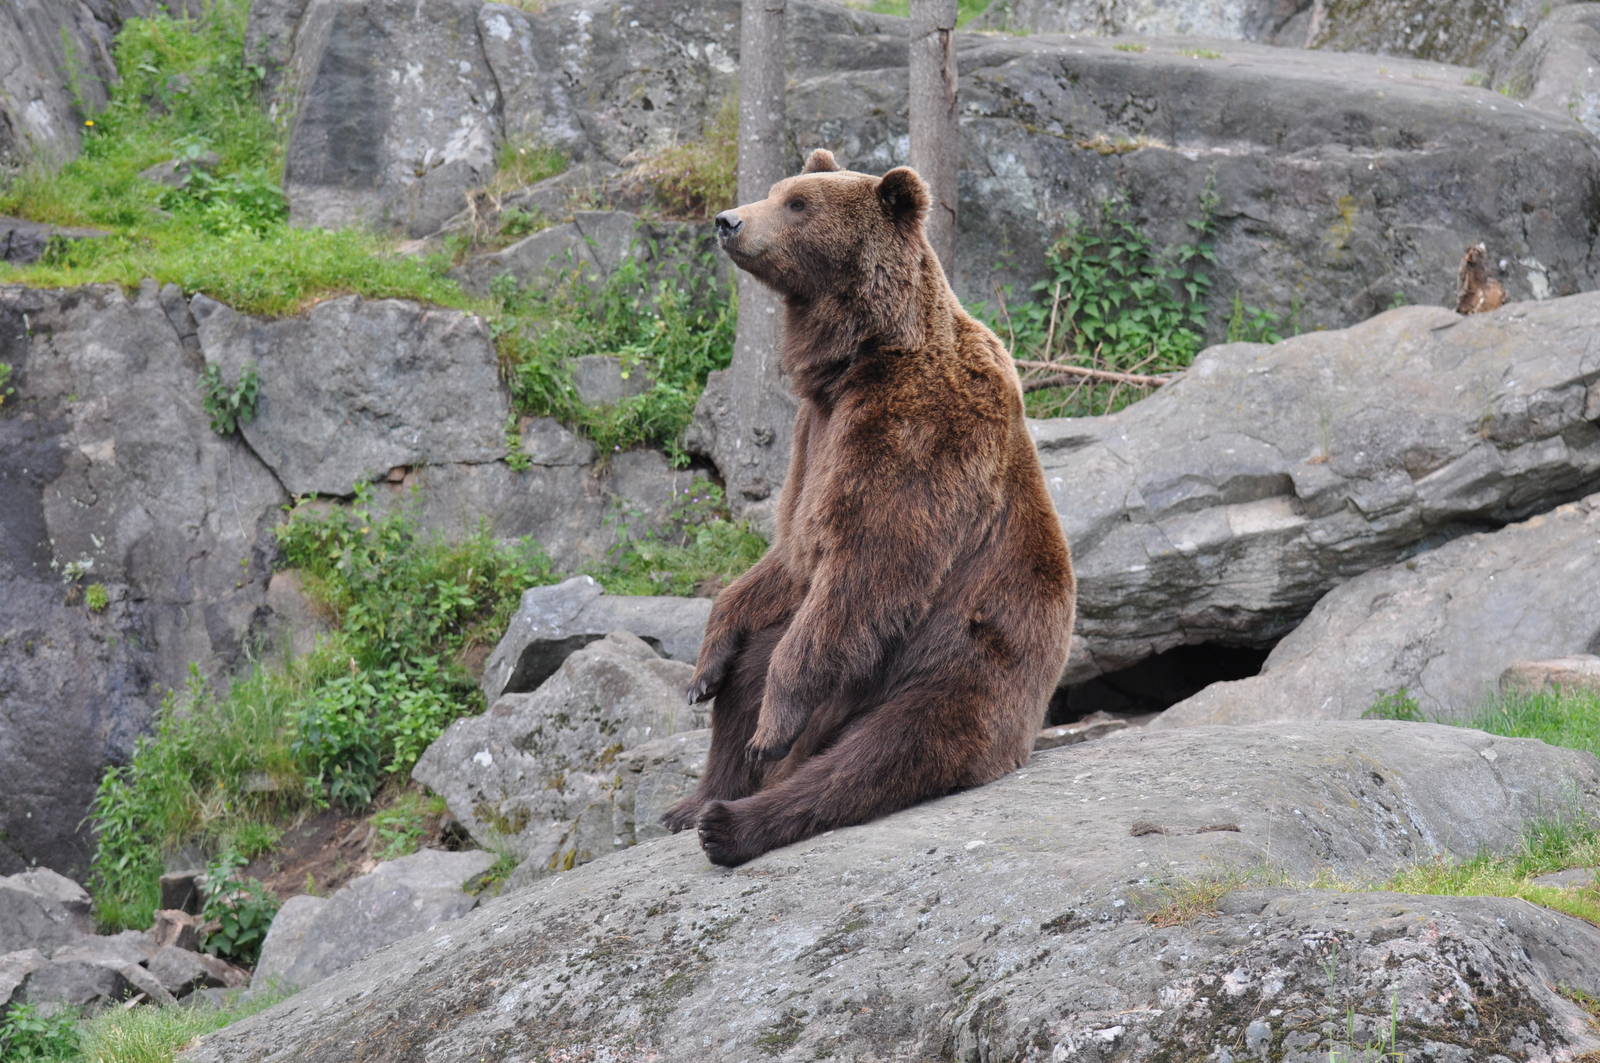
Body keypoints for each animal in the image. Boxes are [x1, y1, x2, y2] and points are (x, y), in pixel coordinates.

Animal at [661, 149, 1076, 867]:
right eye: (779, 189)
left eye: (798, 203)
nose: (728, 220)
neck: (858, 356)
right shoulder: (813, 435)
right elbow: (791, 550)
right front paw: (702, 668)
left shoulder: (913, 429)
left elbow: (869, 562)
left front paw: (771, 728)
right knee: (749, 676)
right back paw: (692, 801)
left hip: (962, 665)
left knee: (881, 754)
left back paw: (734, 818)